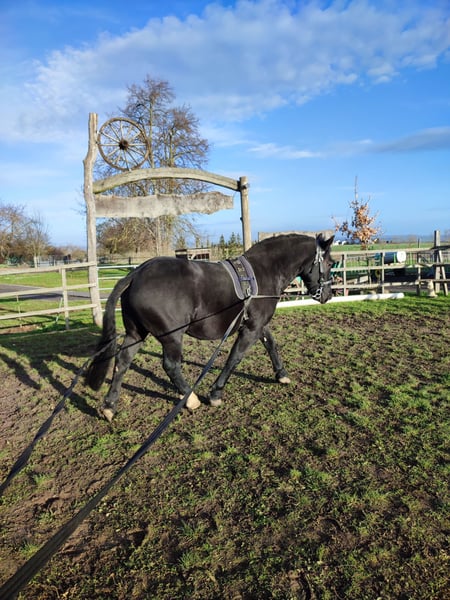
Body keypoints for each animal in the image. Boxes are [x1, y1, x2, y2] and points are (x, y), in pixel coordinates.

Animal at [86, 233, 334, 421]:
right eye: (330, 263)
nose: (328, 295)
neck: (263, 272)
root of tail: (137, 274)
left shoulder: (257, 324)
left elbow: (271, 344)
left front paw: (281, 374)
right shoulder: (251, 329)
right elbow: (234, 358)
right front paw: (216, 393)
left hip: (136, 333)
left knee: (122, 362)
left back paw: (109, 406)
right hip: (172, 336)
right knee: (170, 366)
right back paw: (190, 399)